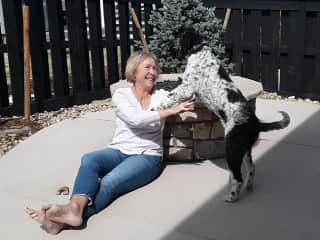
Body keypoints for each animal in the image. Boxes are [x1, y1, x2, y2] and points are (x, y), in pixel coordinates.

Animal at [156, 30, 290, 202]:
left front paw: (156, 107)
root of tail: (256, 123)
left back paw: (231, 197)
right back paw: (248, 187)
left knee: (238, 177)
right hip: (244, 149)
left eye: (178, 38)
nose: (170, 49)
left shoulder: (186, 88)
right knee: (251, 168)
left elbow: (169, 96)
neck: (200, 51)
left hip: (232, 147)